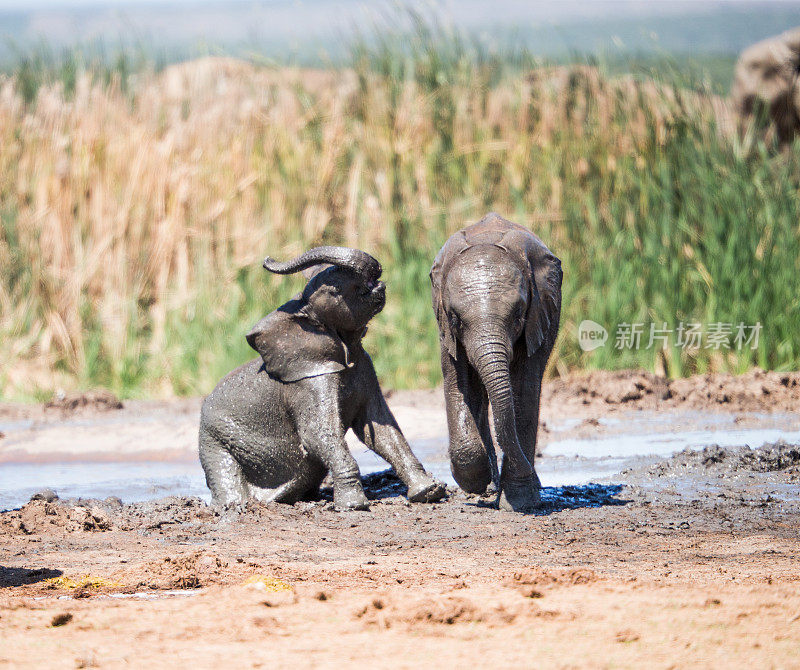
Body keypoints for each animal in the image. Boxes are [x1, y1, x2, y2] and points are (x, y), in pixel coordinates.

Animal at [200, 247, 446, 516]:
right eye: (335, 290)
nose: (377, 279)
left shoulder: (365, 367)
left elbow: (380, 430)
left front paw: (431, 492)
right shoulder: (309, 381)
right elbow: (317, 433)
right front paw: (353, 506)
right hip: (214, 440)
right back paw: (235, 506)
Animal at [432, 214, 564, 516]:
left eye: (518, 315)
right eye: (455, 318)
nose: (532, 472)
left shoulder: (537, 315)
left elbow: (524, 391)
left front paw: (521, 501)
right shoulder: (444, 326)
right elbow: (458, 385)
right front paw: (476, 482)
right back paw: (488, 486)